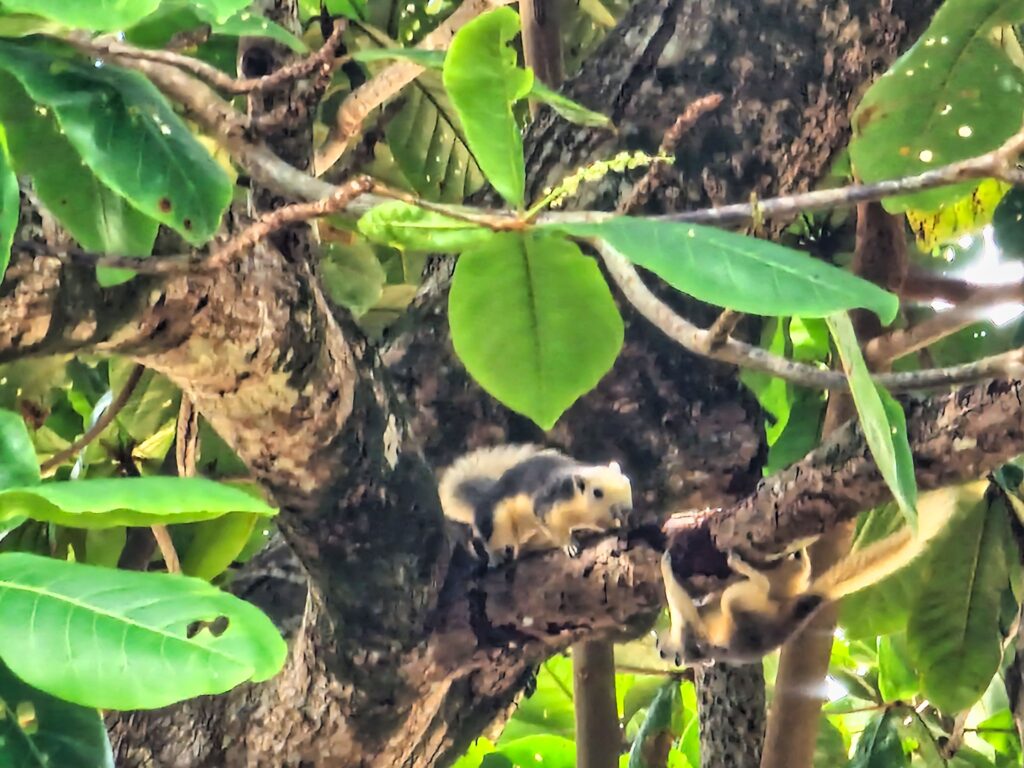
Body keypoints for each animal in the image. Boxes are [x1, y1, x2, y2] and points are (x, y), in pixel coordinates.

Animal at [438, 444, 630, 565]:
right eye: (597, 492)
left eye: (627, 481)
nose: (626, 509)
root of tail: (485, 496)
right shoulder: (546, 506)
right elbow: (555, 527)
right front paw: (569, 545)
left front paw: (614, 524)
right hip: (497, 523)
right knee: (489, 539)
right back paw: (496, 557)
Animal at [655, 481, 974, 667]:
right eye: (667, 655)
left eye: (659, 646)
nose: (659, 648)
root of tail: (786, 623)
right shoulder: (690, 640)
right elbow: (685, 609)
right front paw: (666, 564)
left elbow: (687, 603)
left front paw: (670, 565)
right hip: (753, 614)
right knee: (739, 598)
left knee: (782, 578)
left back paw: (793, 553)